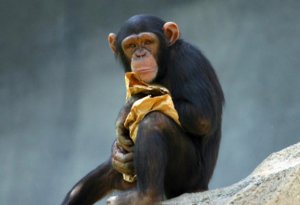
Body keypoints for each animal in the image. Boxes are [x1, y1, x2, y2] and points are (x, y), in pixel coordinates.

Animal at [61, 14, 224, 205]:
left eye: (147, 42)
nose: (140, 54)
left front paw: (127, 109)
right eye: (131, 45)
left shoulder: (189, 62)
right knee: (99, 176)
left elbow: (202, 116)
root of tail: (203, 186)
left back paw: (144, 196)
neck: (164, 63)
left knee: (154, 121)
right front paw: (117, 150)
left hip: (189, 178)